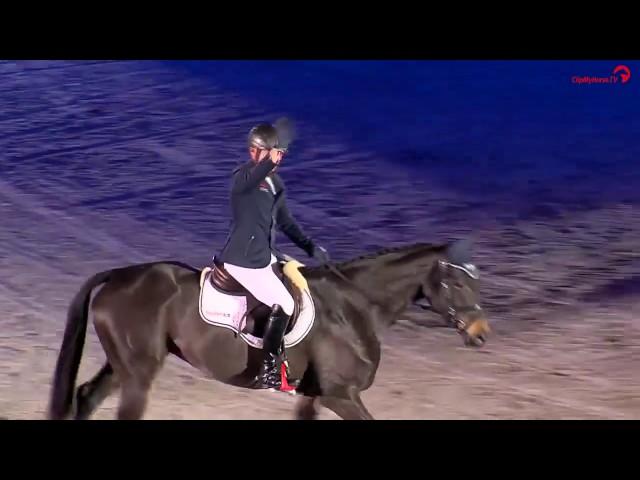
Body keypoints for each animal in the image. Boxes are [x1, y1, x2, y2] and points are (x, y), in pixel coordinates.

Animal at [48, 240, 490, 420]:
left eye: (475, 280)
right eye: (456, 283)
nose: (481, 333)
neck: (354, 304)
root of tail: (120, 275)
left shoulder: (313, 396)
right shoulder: (341, 396)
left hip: (123, 363)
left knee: (87, 397)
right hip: (140, 370)